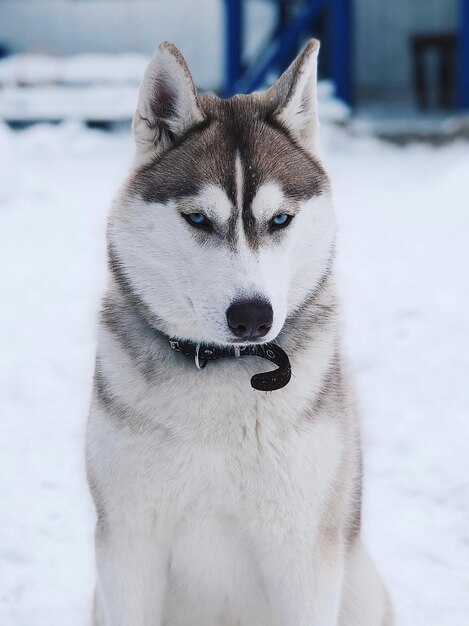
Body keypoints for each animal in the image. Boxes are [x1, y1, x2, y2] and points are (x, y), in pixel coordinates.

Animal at [85, 40, 392, 624]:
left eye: (280, 220)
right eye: (198, 219)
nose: (252, 316)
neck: (223, 374)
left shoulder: (304, 556)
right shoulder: (129, 548)